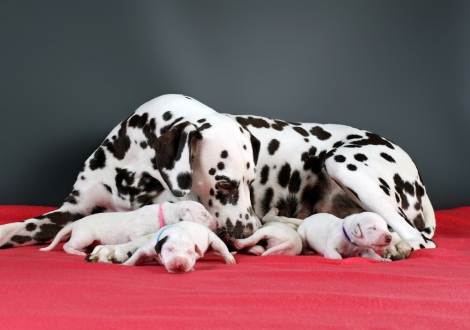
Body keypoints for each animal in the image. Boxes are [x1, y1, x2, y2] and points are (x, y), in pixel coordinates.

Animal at [40, 200, 217, 256]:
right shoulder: (136, 230)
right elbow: (137, 237)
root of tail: (75, 223)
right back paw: (77, 252)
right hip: (85, 236)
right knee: (67, 245)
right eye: (204, 215)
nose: (217, 223)